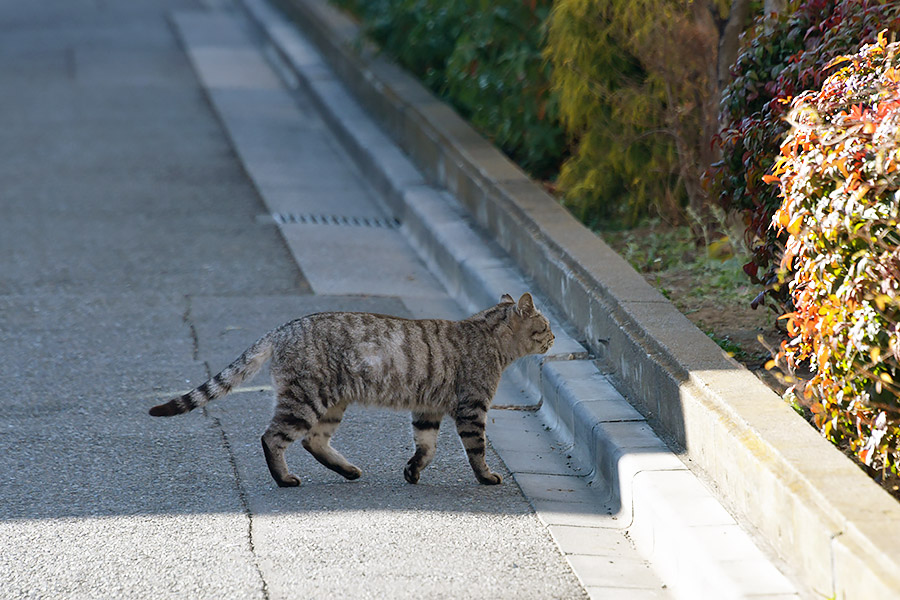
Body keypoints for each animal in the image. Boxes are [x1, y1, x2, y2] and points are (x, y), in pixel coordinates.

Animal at [151, 294, 552, 488]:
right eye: (546, 325)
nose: (554, 338)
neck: (489, 339)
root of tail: (282, 328)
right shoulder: (471, 408)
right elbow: (477, 450)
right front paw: (486, 477)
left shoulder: (428, 410)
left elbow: (426, 447)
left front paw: (412, 472)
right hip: (306, 399)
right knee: (272, 438)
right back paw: (285, 479)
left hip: (331, 404)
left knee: (313, 441)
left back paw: (347, 471)